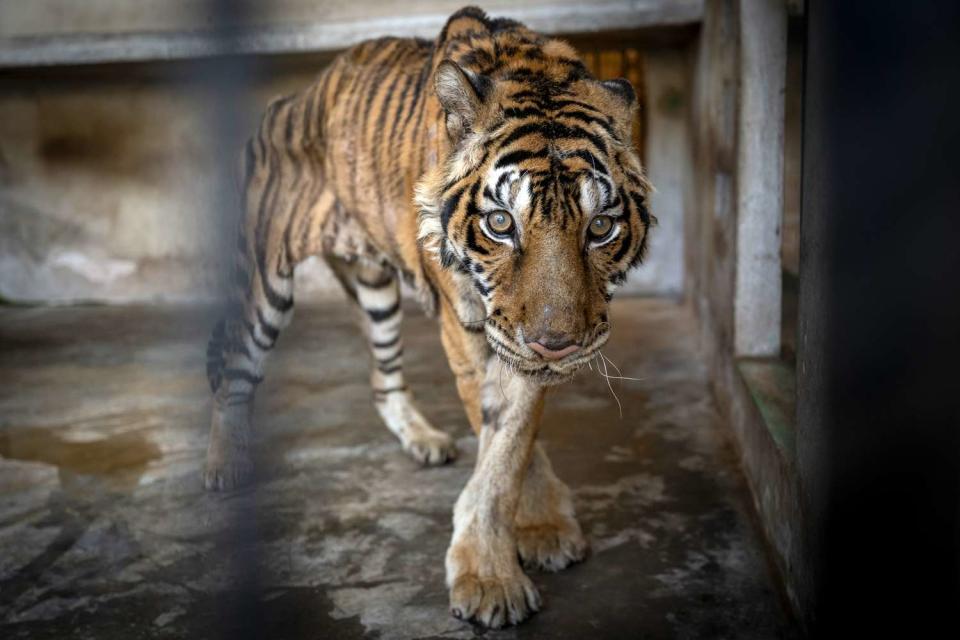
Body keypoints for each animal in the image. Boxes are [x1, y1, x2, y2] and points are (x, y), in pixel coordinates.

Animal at [202, 3, 652, 624]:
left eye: (601, 227)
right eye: (501, 223)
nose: (555, 344)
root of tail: (290, 99)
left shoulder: (511, 343)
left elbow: (510, 447)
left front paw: (538, 531)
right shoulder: (474, 331)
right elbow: (501, 455)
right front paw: (492, 580)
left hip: (375, 291)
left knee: (383, 376)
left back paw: (422, 438)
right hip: (266, 277)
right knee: (235, 367)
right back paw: (225, 463)